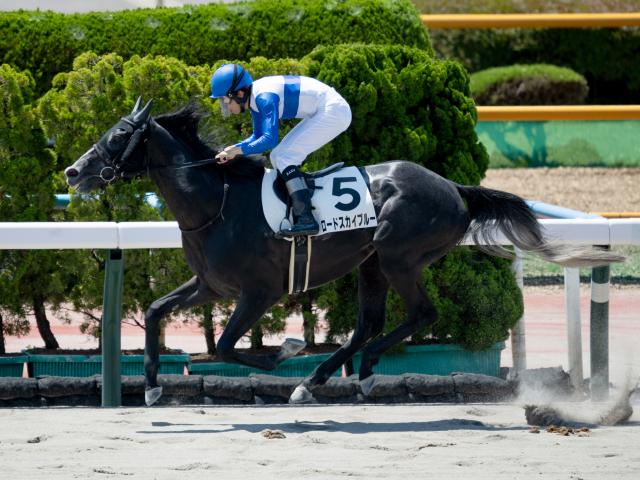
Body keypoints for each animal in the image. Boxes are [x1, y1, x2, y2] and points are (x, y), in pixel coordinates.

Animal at [64, 99, 623, 406]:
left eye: (118, 135)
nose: (73, 172)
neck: (216, 204)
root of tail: (452, 188)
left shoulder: (260, 292)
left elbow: (224, 347)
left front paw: (287, 349)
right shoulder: (210, 285)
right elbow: (157, 312)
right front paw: (151, 386)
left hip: (399, 257)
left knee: (420, 313)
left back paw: (347, 370)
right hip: (372, 264)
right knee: (368, 324)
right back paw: (325, 378)